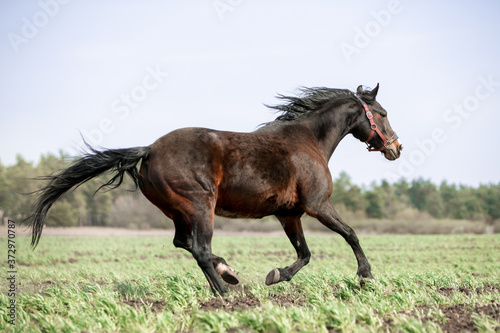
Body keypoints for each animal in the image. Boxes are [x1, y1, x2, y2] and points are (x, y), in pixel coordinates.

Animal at [27, 83, 402, 296]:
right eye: (382, 113)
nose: (396, 148)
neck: (308, 141)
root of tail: (149, 149)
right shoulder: (318, 205)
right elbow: (350, 234)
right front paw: (366, 277)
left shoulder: (289, 214)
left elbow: (304, 253)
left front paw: (276, 275)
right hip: (199, 205)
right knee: (201, 249)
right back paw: (225, 291)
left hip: (178, 211)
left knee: (186, 244)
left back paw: (227, 276)